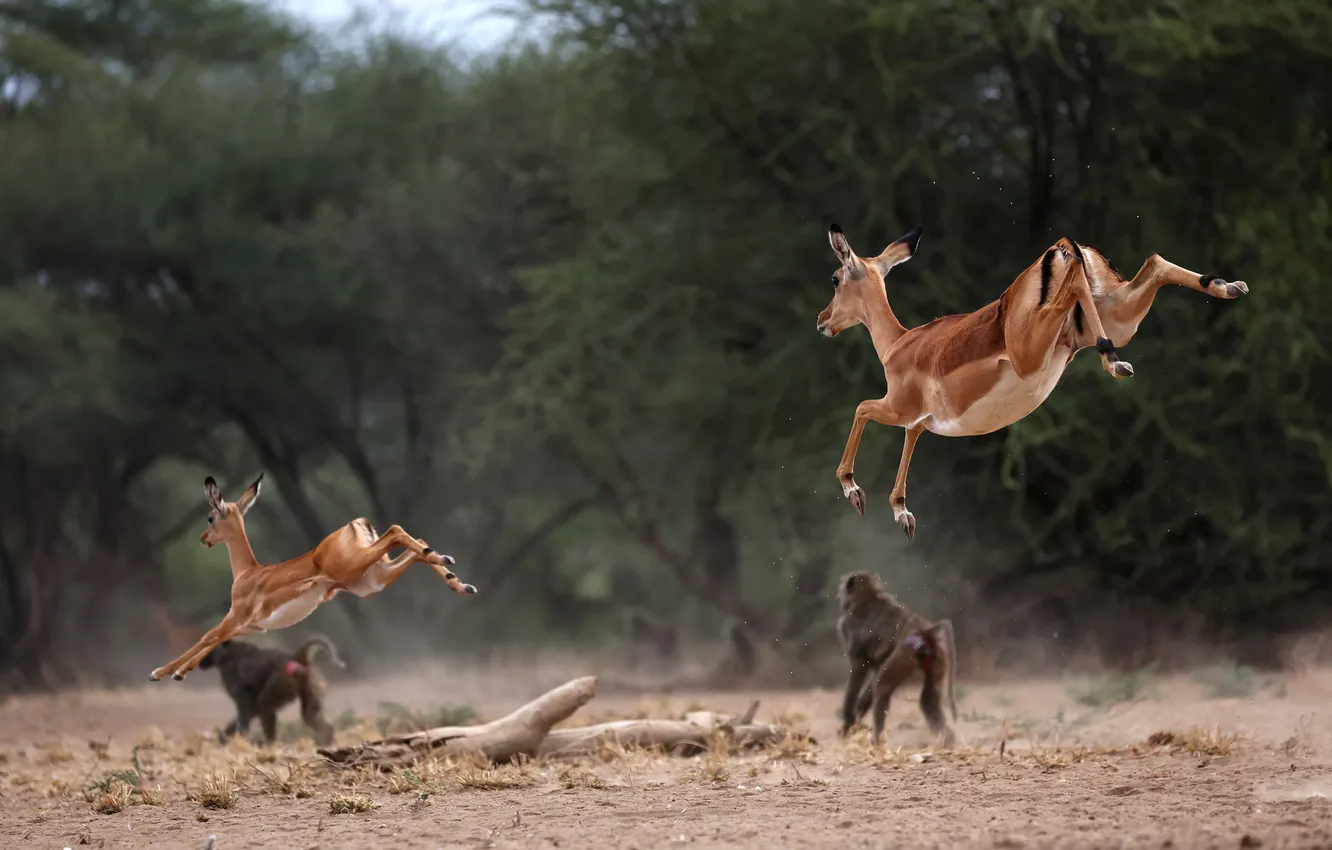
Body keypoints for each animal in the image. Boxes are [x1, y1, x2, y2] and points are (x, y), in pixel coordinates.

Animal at [149, 474, 476, 682]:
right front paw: (179, 672)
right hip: (373, 581)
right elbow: (214, 640)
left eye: (210, 517)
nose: (203, 539)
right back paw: (458, 579)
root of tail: (356, 525)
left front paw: (162, 672)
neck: (248, 573)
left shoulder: (235, 616)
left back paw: (450, 569)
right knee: (417, 543)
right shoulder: (249, 626)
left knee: (397, 530)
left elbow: (207, 636)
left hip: (358, 568)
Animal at [198, 636, 345, 748]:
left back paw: (271, 744)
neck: (226, 654)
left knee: (265, 707)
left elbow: (245, 709)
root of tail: (295, 657)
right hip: (308, 683)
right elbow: (252, 709)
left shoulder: (234, 681)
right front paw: (225, 737)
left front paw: (239, 740)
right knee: (310, 714)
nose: (200, 662)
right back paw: (326, 742)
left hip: (280, 683)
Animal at [818, 223, 1249, 540]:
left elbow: (862, 409)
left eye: (836, 278)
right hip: (1117, 316)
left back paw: (1113, 359)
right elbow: (907, 439)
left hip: (1034, 349)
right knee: (1154, 263)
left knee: (1079, 283)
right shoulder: (921, 421)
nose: (823, 321)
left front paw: (859, 493)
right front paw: (900, 512)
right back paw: (1226, 289)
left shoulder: (900, 408)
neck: (900, 345)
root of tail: (1063, 247)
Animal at [835, 570, 958, 747]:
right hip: (936, 657)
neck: (866, 596)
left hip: (905, 652)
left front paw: (849, 718)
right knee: (928, 700)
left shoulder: (847, 626)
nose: (839, 597)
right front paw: (857, 714)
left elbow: (859, 671)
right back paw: (947, 740)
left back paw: (876, 741)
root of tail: (925, 630)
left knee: (883, 685)